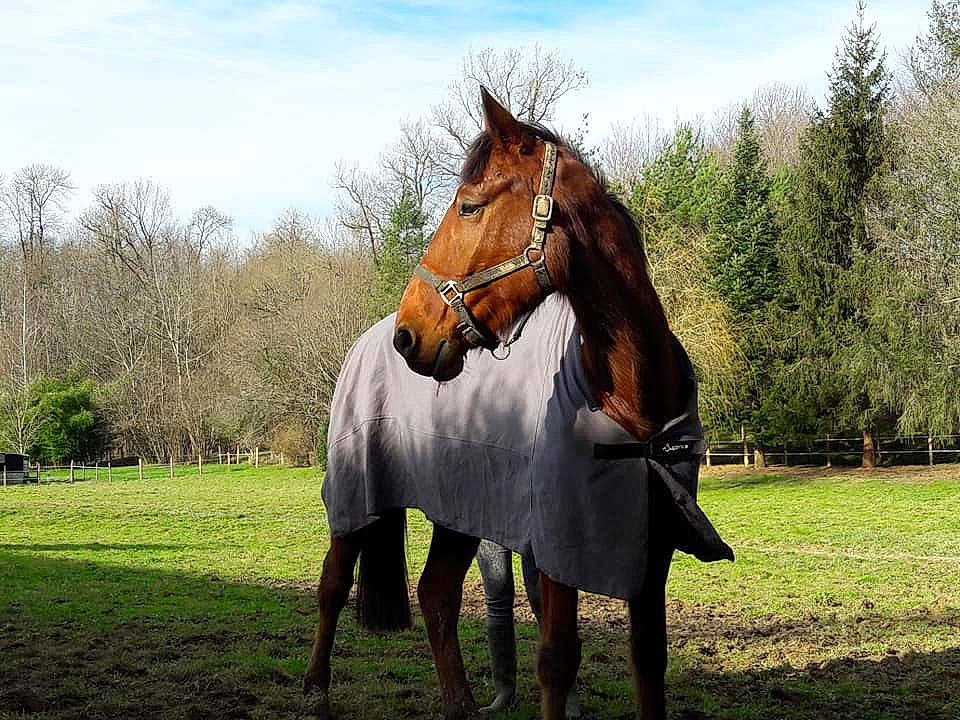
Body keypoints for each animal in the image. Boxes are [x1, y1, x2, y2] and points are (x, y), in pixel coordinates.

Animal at [303, 87, 732, 720]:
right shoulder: (555, 543)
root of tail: (364, 342)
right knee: (333, 583)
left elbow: (649, 657)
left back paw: (459, 704)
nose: (409, 334)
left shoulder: (651, 552)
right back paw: (315, 691)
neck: (630, 402)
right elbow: (557, 659)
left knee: (436, 593)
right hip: (359, 499)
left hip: (457, 510)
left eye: (470, 207)